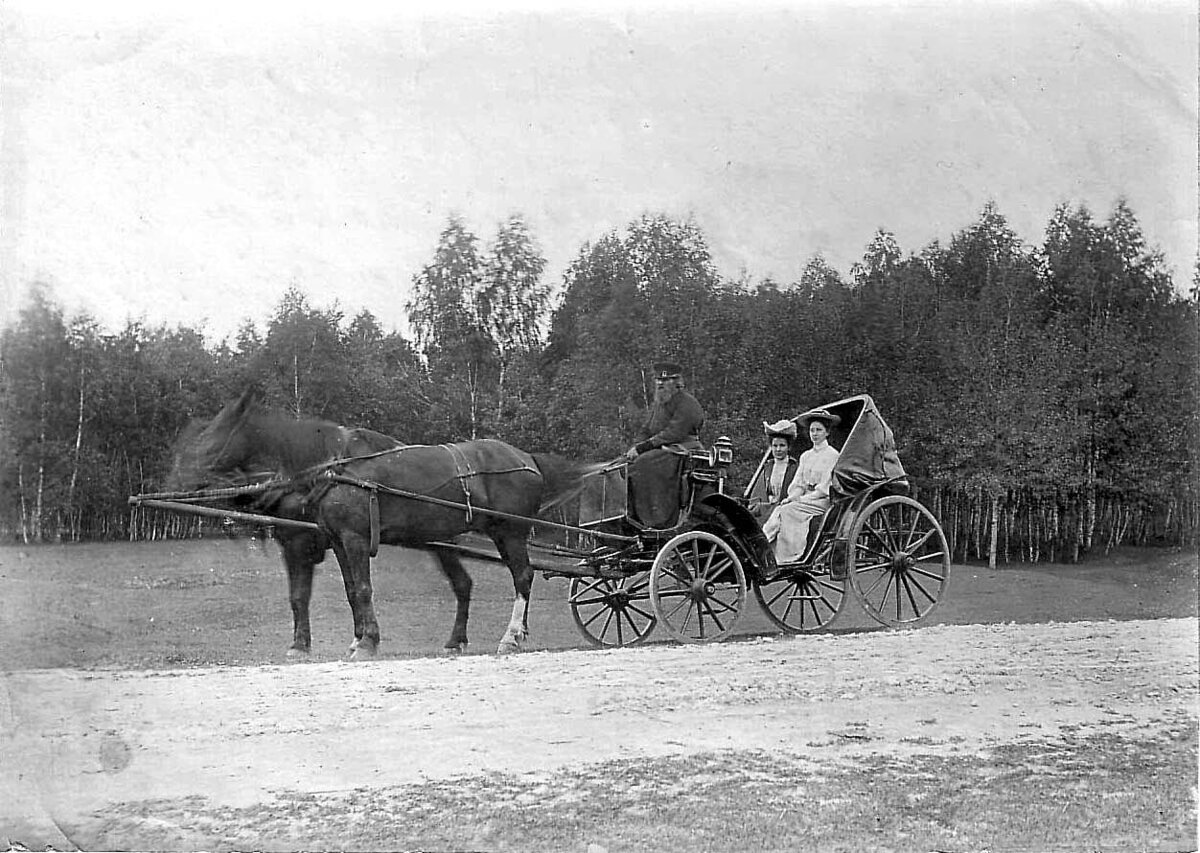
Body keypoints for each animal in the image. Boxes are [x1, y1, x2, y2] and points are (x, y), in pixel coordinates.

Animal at [166, 393, 597, 662]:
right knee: (466, 584)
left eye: (213, 439)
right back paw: (455, 641)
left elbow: (359, 589)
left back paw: (511, 637)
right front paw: (352, 640)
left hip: (510, 532)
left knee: (522, 575)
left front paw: (366, 643)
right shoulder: (333, 541)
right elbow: (338, 592)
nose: (178, 480)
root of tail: (528, 459)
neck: (331, 467)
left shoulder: (351, 538)